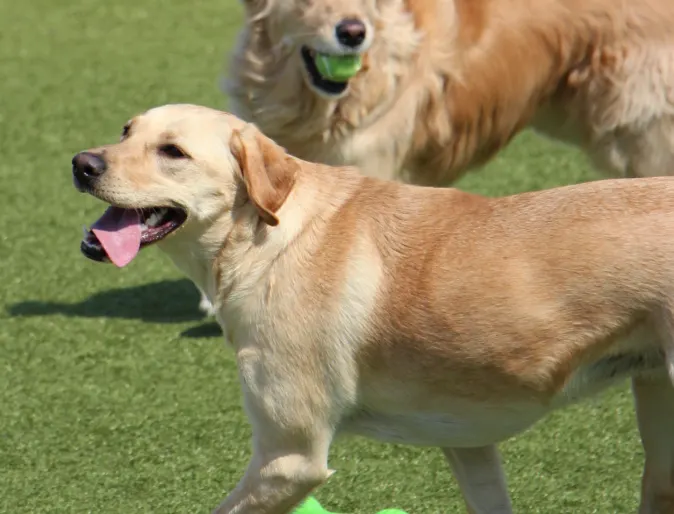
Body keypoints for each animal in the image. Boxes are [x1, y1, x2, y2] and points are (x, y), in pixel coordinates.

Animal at [72, 102, 672, 510]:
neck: (267, 239)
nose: (81, 163)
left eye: (173, 152)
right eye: (126, 130)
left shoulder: (290, 459)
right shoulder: (468, 441)